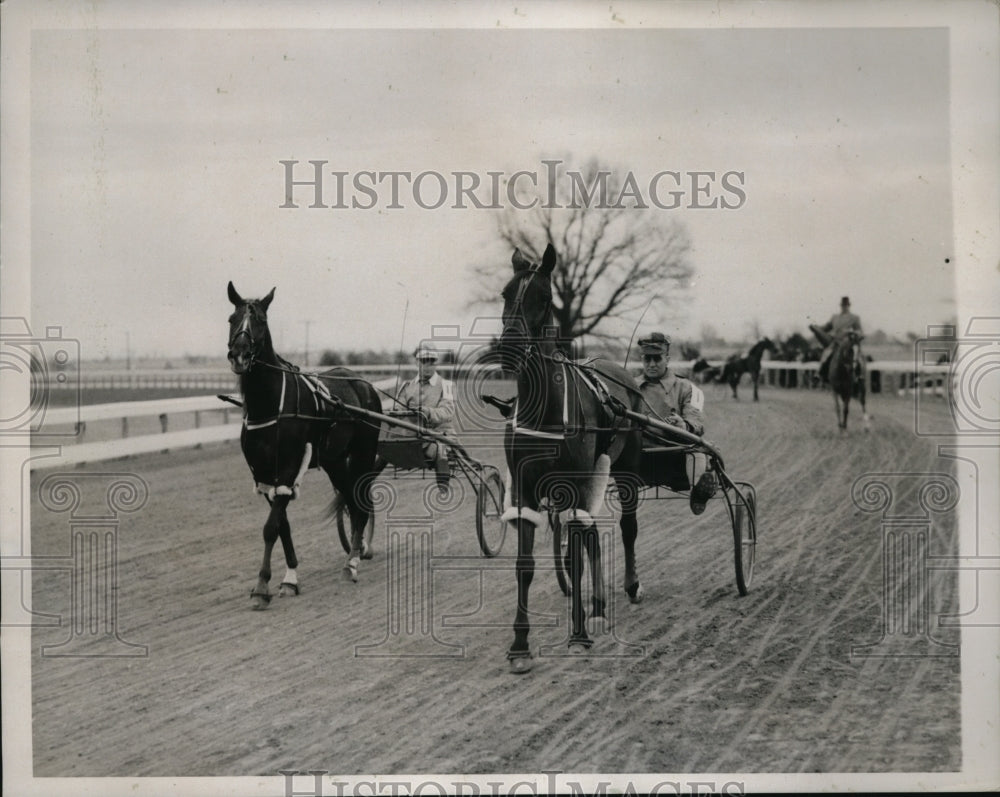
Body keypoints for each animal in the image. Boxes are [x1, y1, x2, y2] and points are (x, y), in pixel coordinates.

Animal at [228, 282, 382, 608]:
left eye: (260, 320)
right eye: (232, 319)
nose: (239, 355)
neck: (270, 405)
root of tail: (362, 382)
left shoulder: (288, 468)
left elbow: (270, 528)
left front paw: (261, 586)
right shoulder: (264, 474)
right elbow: (282, 526)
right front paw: (290, 579)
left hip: (362, 453)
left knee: (361, 504)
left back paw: (352, 563)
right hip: (335, 461)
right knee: (352, 502)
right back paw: (356, 552)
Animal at [496, 243, 644, 672]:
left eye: (544, 298)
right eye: (505, 293)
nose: (509, 349)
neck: (544, 410)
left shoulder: (575, 483)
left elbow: (575, 558)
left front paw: (578, 635)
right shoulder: (526, 488)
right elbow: (525, 565)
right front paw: (520, 645)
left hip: (624, 470)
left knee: (627, 528)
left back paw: (627, 587)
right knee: (591, 533)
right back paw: (597, 605)